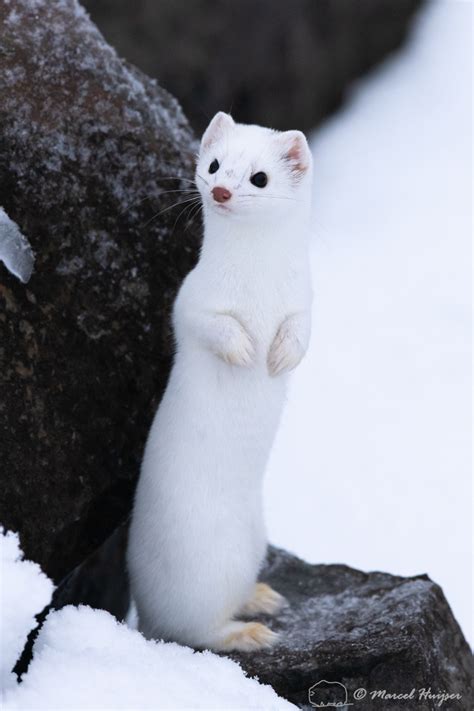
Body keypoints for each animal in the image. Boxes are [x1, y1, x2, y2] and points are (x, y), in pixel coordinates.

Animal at [128, 114, 312, 652]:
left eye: (259, 177)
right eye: (212, 165)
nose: (222, 190)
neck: (259, 287)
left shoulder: (305, 301)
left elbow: (302, 334)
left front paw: (278, 355)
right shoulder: (192, 299)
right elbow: (208, 325)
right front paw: (245, 350)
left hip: (254, 539)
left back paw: (261, 597)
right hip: (204, 566)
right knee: (194, 629)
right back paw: (249, 632)